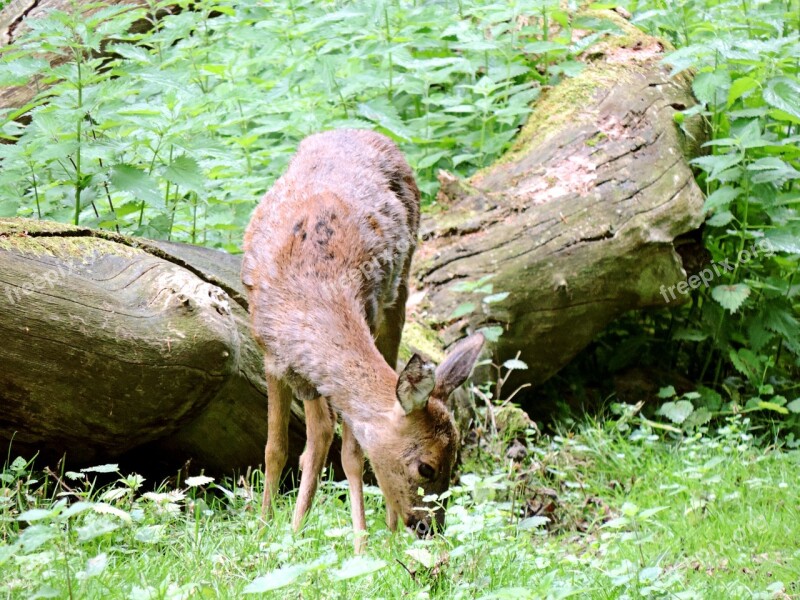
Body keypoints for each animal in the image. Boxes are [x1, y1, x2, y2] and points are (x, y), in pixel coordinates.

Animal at [241, 129, 484, 552]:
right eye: (427, 466)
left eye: (455, 461)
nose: (431, 527)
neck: (311, 293)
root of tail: (362, 131)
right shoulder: (272, 355)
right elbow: (275, 449)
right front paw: (267, 531)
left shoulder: (365, 317)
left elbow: (352, 454)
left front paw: (360, 545)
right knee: (318, 434)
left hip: (399, 287)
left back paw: (385, 529)